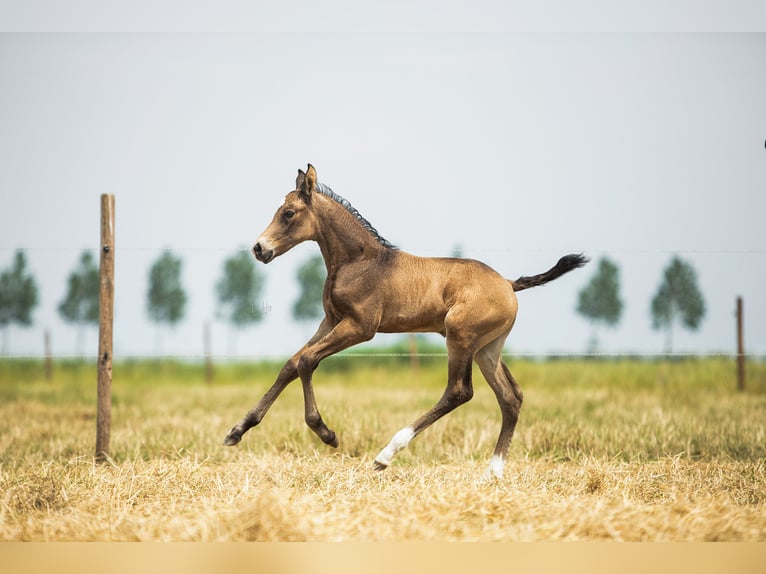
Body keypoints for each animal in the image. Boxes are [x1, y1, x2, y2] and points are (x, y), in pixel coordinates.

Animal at [225, 164, 592, 480]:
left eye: (288, 213)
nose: (259, 248)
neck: (359, 260)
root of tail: (508, 284)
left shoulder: (360, 327)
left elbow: (307, 361)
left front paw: (326, 433)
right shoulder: (331, 320)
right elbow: (291, 363)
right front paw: (237, 430)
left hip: (460, 338)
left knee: (459, 392)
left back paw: (385, 455)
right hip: (488, 348)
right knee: (511, 397)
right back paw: (492, 472)